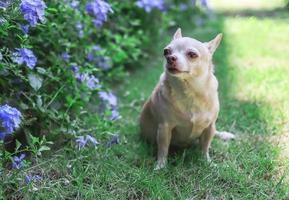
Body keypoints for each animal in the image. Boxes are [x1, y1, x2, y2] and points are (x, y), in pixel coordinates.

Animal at [138, 28, 233, 170]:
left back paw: (224, 135)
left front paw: (207, 162)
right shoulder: (164, 128)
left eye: (192, 54)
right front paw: (160, 166)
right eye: (166, 51)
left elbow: (205, 147)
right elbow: (163, 149)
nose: (170, 58)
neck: (190, 92)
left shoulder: (209, 127)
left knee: (215, 133)